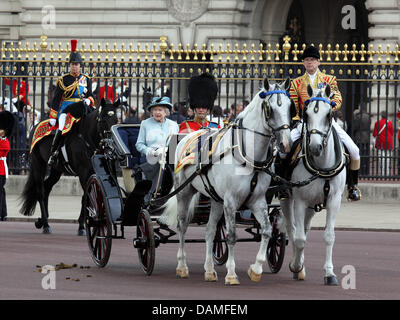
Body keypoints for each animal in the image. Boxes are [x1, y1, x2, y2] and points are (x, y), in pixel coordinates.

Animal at [19, 99, 120, 234]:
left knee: (47, 188)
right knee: (40, 191)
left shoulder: (93, 173)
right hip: (38, 163)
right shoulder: (83, 173)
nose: (110, 144)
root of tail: (35, 125)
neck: (86, 137)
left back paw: (42, 221)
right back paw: (45, 225)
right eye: (103, 119)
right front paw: (82, 226)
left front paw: (85, 224)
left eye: (116, 120)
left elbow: (88, 197)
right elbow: (86, 197)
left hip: (56, 170)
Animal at [159, 77, 294, 284]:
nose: (286, 144)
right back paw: (182, 266)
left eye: (289, 107)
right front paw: (231, 274)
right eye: (269, 108)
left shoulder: (257, 201)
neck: (248, 156)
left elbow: (266, 230)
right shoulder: (231, 202)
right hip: (185, 192)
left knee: (210, 231)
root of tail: (186, 136)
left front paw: (256, 269)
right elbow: (231, 236)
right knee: (182, 226)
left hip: (215, 199)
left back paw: (209, 270)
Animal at [282, 84, 346, 284]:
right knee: (292, 229)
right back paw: (297, 266)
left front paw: (330, 274)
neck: (322, 166)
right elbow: (299, 238)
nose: (315, 148)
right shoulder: (300, 201)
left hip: (312, 204)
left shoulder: (334, 201)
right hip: (287, 199)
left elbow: (329, 236)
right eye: (307, 114)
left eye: (328, 114)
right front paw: (296, 265)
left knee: (304, 228)